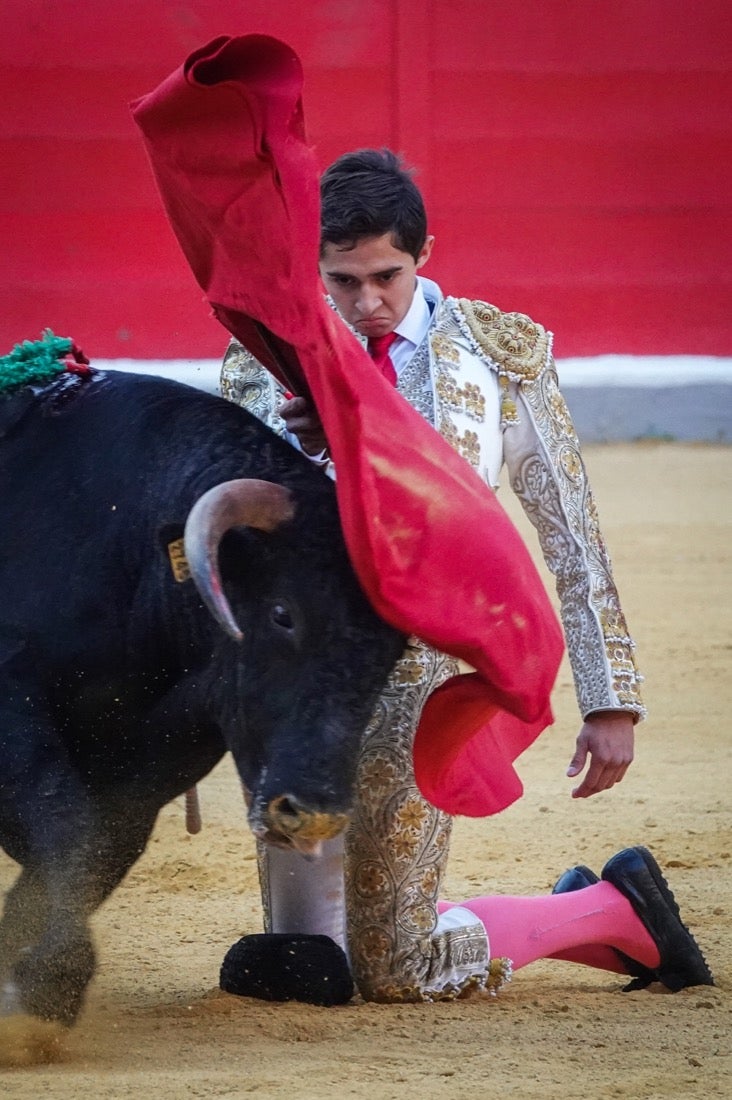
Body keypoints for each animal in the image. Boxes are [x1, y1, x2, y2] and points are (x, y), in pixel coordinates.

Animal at [0, 367, 405, 1047]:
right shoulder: (12, 710)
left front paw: (29, 983)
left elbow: (90, 852)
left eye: (392, 652)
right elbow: (65, 823)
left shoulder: (158, 762)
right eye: (282, 613)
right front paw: (42, 989)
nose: (315, 817)